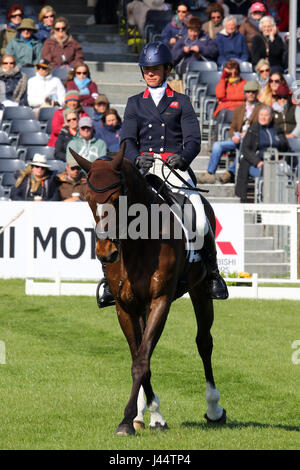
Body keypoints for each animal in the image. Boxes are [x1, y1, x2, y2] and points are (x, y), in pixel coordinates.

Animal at [69, 145, 225, 436]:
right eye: (89, 199)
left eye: (117, 197)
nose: (106, 253)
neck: (139, 241)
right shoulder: (125, 307)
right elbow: (141, 357)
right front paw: (150, 415)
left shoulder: (160, 301)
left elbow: (141, 361)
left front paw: (126, 421)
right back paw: (145, 415)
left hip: (199, 290)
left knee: (204, 342)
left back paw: (214, 409)